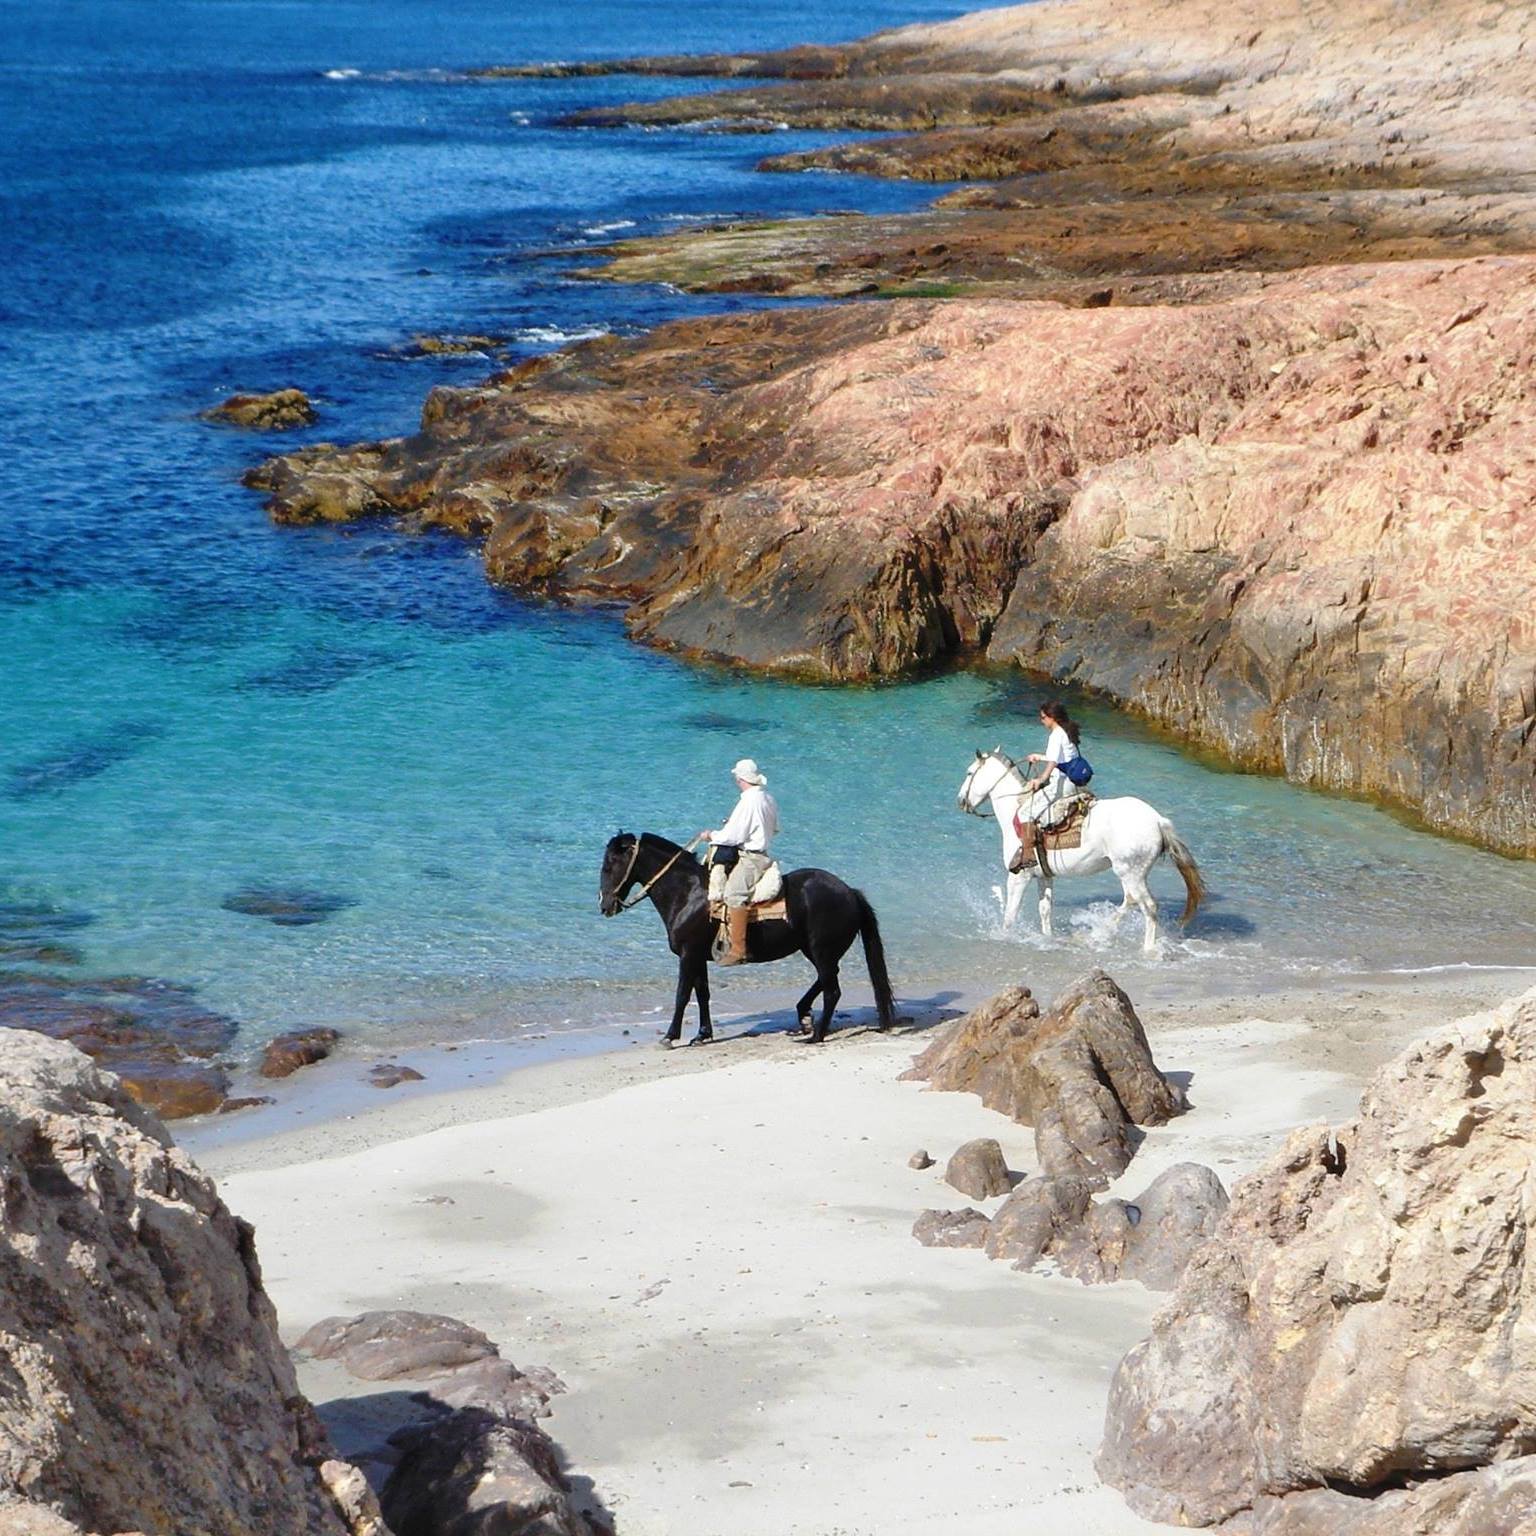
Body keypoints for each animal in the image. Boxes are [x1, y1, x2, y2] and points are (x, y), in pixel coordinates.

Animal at [592, 835, 897, 1050]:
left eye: (609, 865)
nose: (605, 905)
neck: (688, 894)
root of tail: (850, 892)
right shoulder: (698, 957)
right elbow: (702, 994)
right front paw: (702, 1035)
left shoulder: (688, 955)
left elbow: (682, 995)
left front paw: (670, 1036)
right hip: (815, 950)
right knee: (828, 979)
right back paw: (804, 1016)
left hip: (821, 950)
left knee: (832, 989)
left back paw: (816, 1035)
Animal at [952, 743, 1204, 946]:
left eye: (969, 772)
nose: (961, 801)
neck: (1016, 811)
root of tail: (1158, 821)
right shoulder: (1044, 876)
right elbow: (1045, 910)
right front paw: (1048, 938)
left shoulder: (1019, 876)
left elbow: (1010, 915)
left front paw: (1004, 937)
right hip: (1130, 873)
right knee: (1131, 900)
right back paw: (1102, 931)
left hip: (1130, 871)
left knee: (1148, 906)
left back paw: (1147, 948)